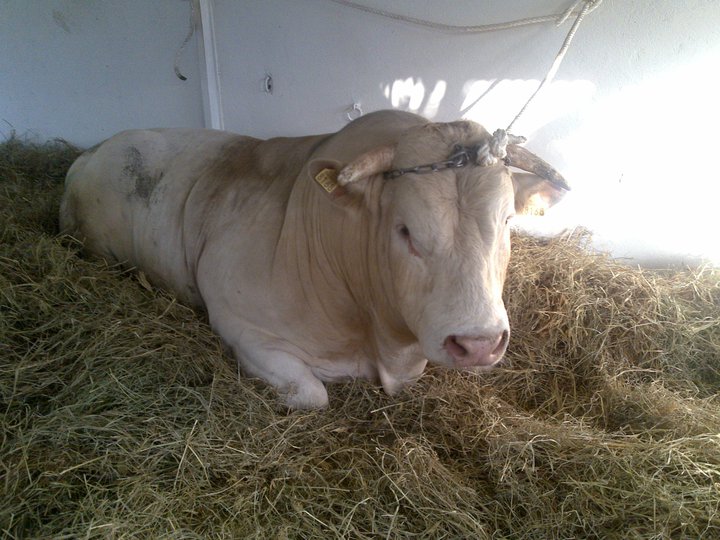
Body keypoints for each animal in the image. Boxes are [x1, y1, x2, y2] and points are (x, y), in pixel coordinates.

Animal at [60, 109, 568, 408]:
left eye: (507, 221)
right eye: (405, 229)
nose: (479, 343)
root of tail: (93, 150)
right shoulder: (240, 324)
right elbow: (313, 395)